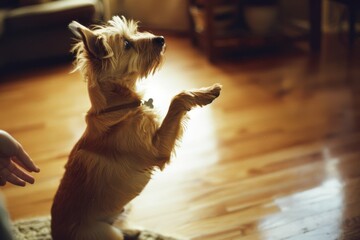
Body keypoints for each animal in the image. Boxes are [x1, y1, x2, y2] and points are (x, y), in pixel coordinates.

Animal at [50, 15, 219, 239]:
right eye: (127, 44)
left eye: (134, 33)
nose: (161, 39)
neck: (117, 108)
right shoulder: (157, 151)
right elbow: (177, 98)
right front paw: (205, 93)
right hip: (107, 233)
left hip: (123, 209)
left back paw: (133, 229)